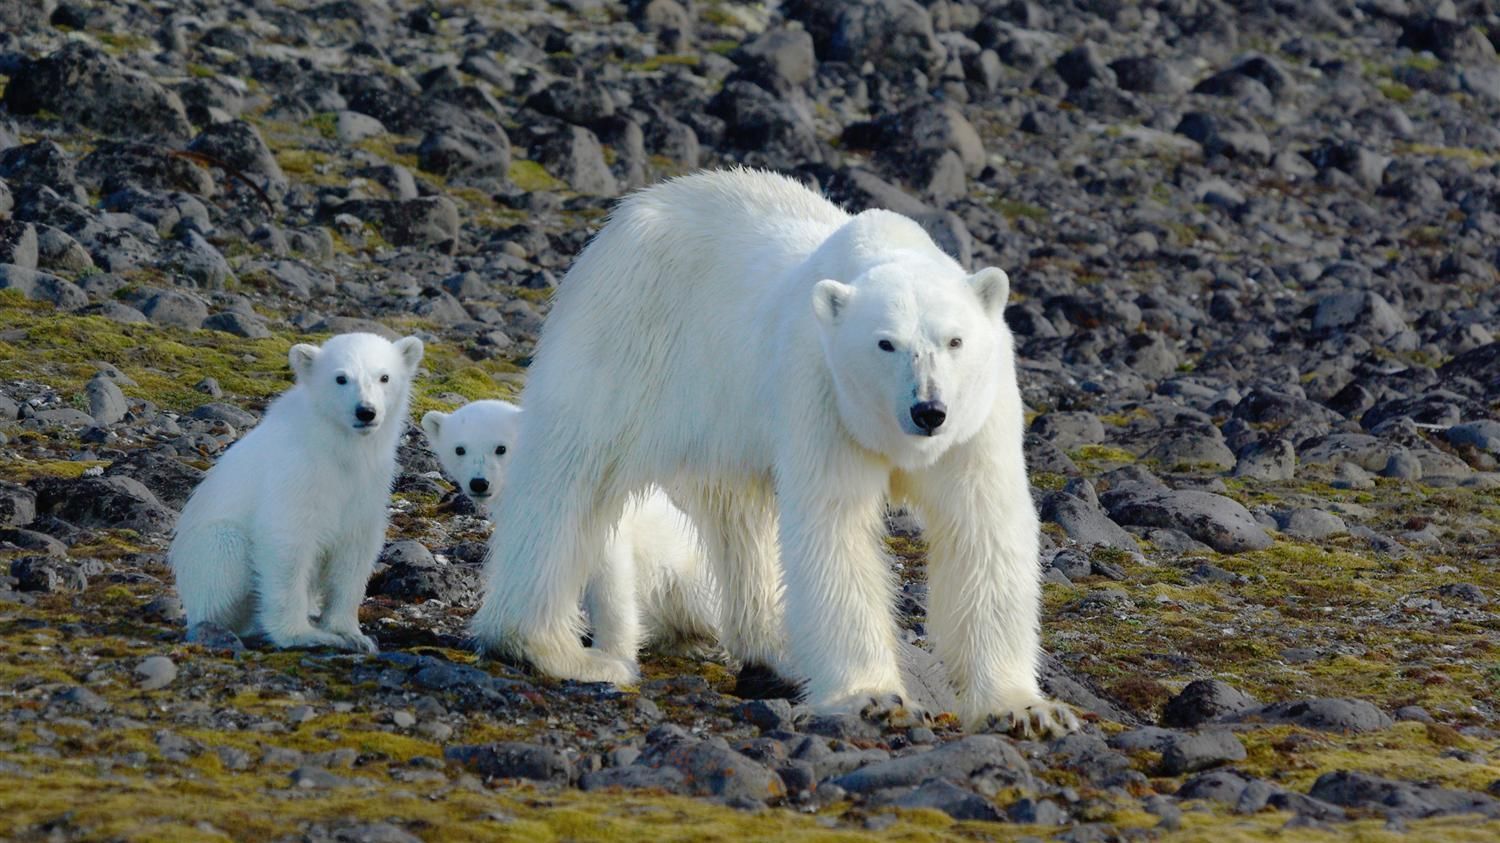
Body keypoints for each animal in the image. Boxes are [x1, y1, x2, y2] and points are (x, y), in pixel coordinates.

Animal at [171, 330, 426, 651]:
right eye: (341, 378)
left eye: (384, 377)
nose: (365, 411)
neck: (337, 447)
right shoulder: (297, 473)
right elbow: (287, 543)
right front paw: (305, 635)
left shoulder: (368, 484)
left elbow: (354, 551)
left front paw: (353, 635)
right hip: (212, 553)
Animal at [420, 396, 717, 660]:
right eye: (459, 448)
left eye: (501, 448)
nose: (479, 483)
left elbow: (611, 580)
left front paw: (611, 654)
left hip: (686, 573)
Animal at [474, 167, 1074, 732]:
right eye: (885, 342)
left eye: (955, 340)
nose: (928, 410)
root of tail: (628, 213)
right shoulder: (821, 390)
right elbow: (834, 528)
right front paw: (875, 699)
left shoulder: (980, 419)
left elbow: (984, 528)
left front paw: (1023, 709)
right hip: (627, 337)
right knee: (569, 480)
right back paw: (558, 650)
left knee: (739, 517)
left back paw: (776, 648)